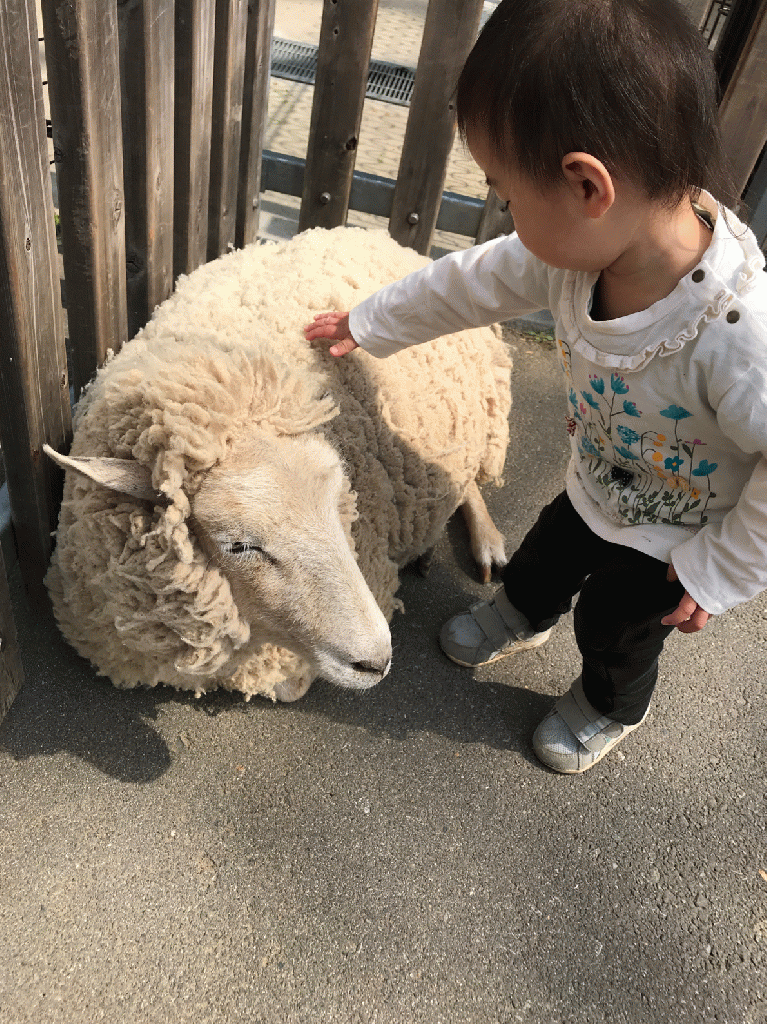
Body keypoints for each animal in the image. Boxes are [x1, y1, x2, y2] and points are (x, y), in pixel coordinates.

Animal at [44, 226, 512, 704]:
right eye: (238, 546)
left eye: (337, 507)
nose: (377, 661)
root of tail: (383, 237)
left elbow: (291, 685)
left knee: (469, 482)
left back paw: (484, 543)